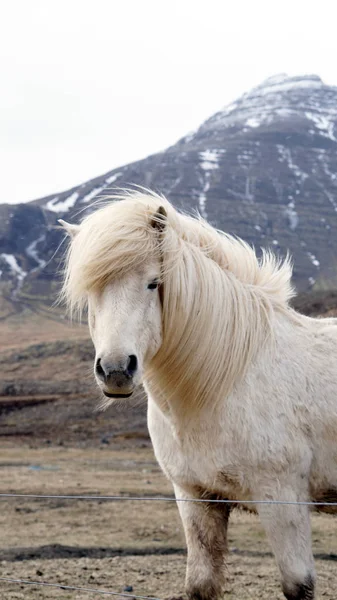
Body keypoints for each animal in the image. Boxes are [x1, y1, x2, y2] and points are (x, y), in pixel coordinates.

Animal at [59, 191, 336, 600]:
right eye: (91, 290)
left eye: (153, 283)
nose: (116, 370)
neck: (226, 381)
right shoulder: (195, 497)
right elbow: (201, 584)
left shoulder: (282, 500)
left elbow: (297, 586)